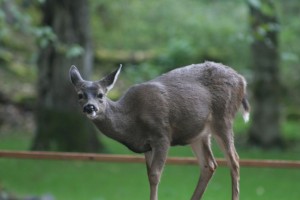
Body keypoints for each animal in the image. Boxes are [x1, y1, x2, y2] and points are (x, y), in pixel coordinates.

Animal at [69, 61, 250, 200]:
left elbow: (155, 175)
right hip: (198, 134)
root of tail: (242, 80)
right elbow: (149, 174)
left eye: (101, 95)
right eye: (80, 95)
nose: (90, 107)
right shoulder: (147, 147)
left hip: (224, 118)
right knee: (209, 165)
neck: (131, 123)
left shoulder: (162, 135)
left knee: (234, 161)